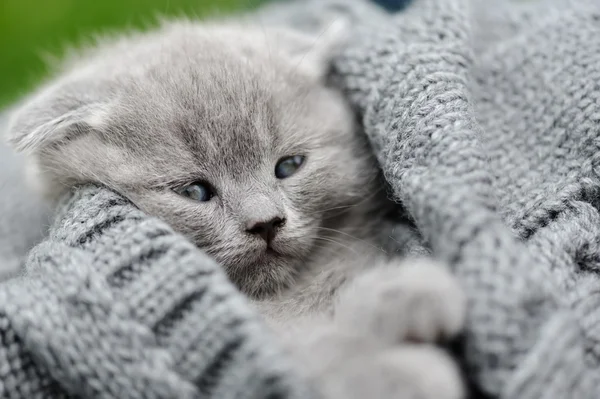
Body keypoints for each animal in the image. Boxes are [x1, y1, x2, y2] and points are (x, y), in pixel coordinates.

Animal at [4, 18, 466, 399]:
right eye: (195, 191)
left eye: (289, 165)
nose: (265, 223)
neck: (283, 295)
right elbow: (302, 352)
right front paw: (406, 368)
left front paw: (405, 291)